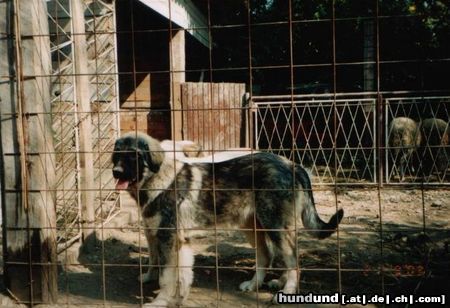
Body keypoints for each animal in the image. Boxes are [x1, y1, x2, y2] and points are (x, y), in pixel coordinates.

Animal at [112, 131, 344, 306]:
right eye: (117, 155)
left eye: (133, 156)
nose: (116, 172)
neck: (158, 178)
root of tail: (292, 165)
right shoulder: (169, 239)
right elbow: (173, 271)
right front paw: (176, 295)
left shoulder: (169, 239)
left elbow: (167, 276)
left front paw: (161, 301)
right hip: (254, 228)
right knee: (268, 255)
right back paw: (255, 285)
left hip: (275, 227)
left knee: (293, 261)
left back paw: (286, 290)